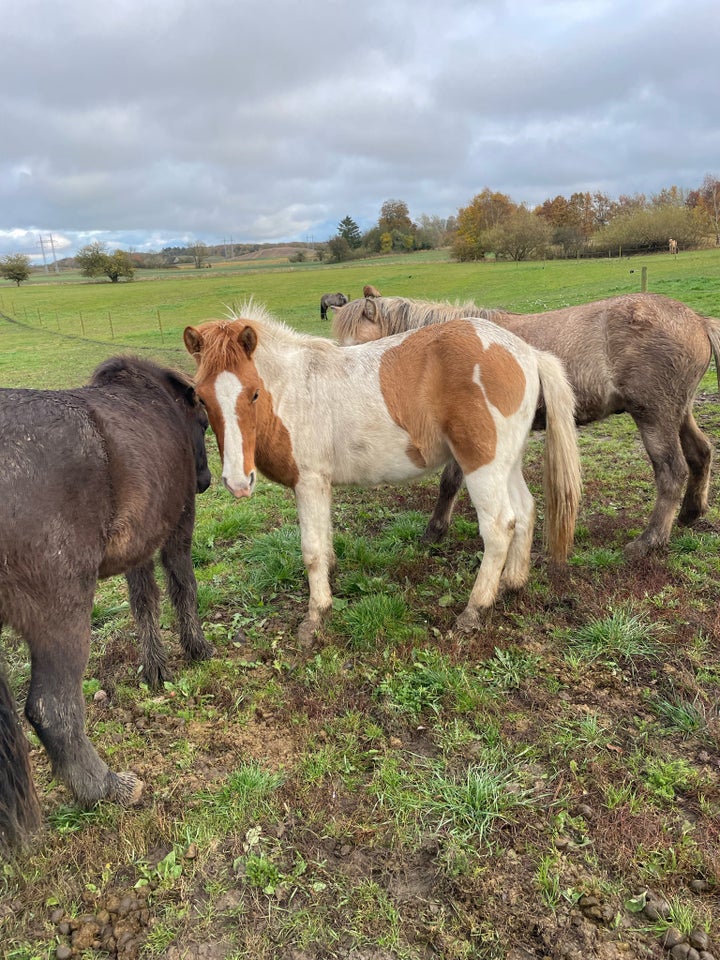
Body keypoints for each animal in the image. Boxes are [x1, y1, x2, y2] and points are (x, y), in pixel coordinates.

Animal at [0, 356, 214, 852]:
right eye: (203, 423)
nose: (207, 481)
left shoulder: (139, 546)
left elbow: (144, 603)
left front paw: (155, 668)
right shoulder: (177, 528)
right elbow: (183, 588)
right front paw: (195, 648)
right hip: (63, 614)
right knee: (52, 711)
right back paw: (109, 788)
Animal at [183, 300, 584, 644]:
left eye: (253, 393)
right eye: (200, 397)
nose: (238, 483)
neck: (292, 390)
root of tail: (527, 352)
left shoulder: (309, 481)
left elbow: (311, 549)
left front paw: (315, 617)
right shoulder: (321, 484)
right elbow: (325, 541)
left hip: (482, 465)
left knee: (500, 527)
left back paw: (474, 611)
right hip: (506, 463)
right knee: (526, 511)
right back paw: (512, 584)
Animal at [332, 296, 720, 560]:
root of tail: (698, 321)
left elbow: (449, 483)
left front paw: (434, 532)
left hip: (654, 417)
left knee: (671, 471)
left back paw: (648, 541)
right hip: (678, 413)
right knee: (701, 453)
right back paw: (690, 513)